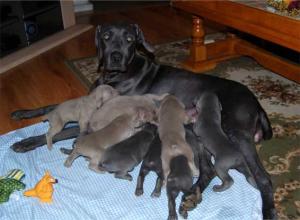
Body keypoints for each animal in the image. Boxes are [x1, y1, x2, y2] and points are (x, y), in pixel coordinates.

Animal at [11, 22, 274, 220]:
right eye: (106, 36)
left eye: (129, 39)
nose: (115, 57)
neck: (117, 75)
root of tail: (257, 103)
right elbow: (55, 107)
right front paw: (23, 113)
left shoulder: (98, 118)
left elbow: (66, 131)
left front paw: (28, 142)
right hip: (202, 138)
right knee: (209, 170)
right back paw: (191, 195)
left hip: (235, 133)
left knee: (263, 179)